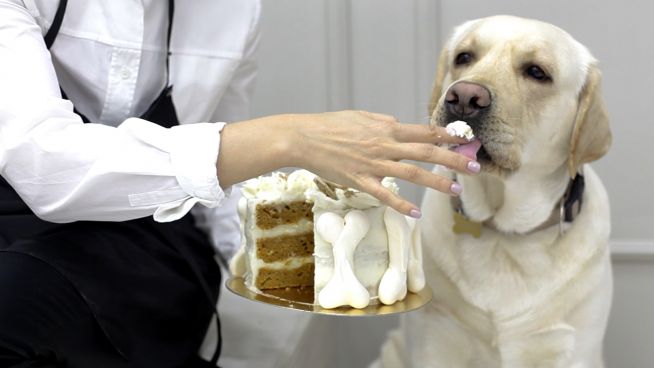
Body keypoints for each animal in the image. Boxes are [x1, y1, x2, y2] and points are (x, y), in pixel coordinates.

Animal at [380, 15, 616, 368]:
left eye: (537, 72)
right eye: (464, 57)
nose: (464, 97)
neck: (504, 232)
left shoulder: (572, 348)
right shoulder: (436, 336)